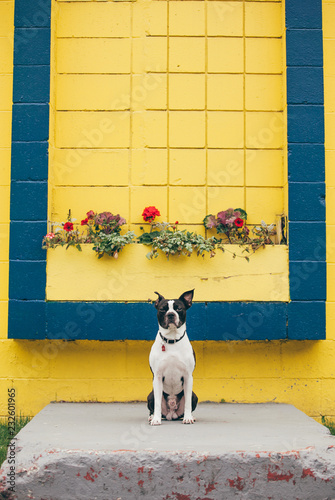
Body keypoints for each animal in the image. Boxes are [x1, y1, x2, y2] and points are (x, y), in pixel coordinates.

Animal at [148, 290, 200, 426]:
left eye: (179, 308)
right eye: (162, 309)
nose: (171, 314)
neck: (172, 340)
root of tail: (171, 414)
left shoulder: (188, 376)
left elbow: (187, 403)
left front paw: (188, 418)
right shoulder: (158, 376)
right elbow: (157, 404)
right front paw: (156, 419)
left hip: (194, 395)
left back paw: (190, 416)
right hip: (150, 394)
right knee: (153, 406)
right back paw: (152, 416)